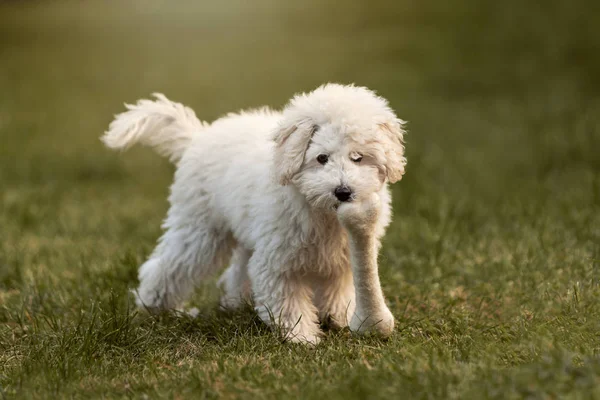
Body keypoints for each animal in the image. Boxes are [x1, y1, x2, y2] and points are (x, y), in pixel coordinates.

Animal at [104, 83, 408, 344]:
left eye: (358, 157)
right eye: (322, 158)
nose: (343, 192)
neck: (321, 211)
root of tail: (198, 137)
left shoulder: (340, 258)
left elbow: (338, 290)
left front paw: (340, 319)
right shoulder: (277, 260)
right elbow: (287, 300)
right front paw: (302, 337)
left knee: (236, 270)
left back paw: (234, 303)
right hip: (201, 230)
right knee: (169, 265)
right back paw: (153, 306)